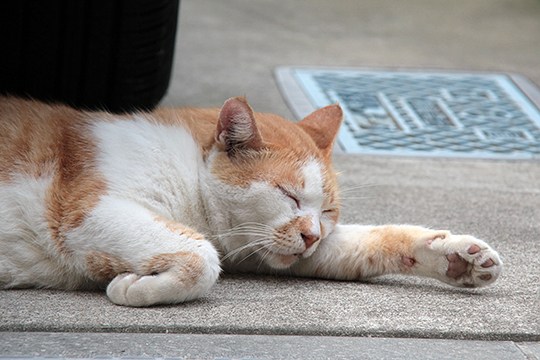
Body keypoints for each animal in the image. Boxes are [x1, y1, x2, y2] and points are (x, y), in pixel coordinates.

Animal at [0, 96, 502, 306]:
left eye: (327, 212)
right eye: (288, 195)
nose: (311, 235)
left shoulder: (269, 251)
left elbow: (369, 242)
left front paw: (455, 257)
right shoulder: (82, 212)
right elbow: (201, 256)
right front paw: (135, 287)